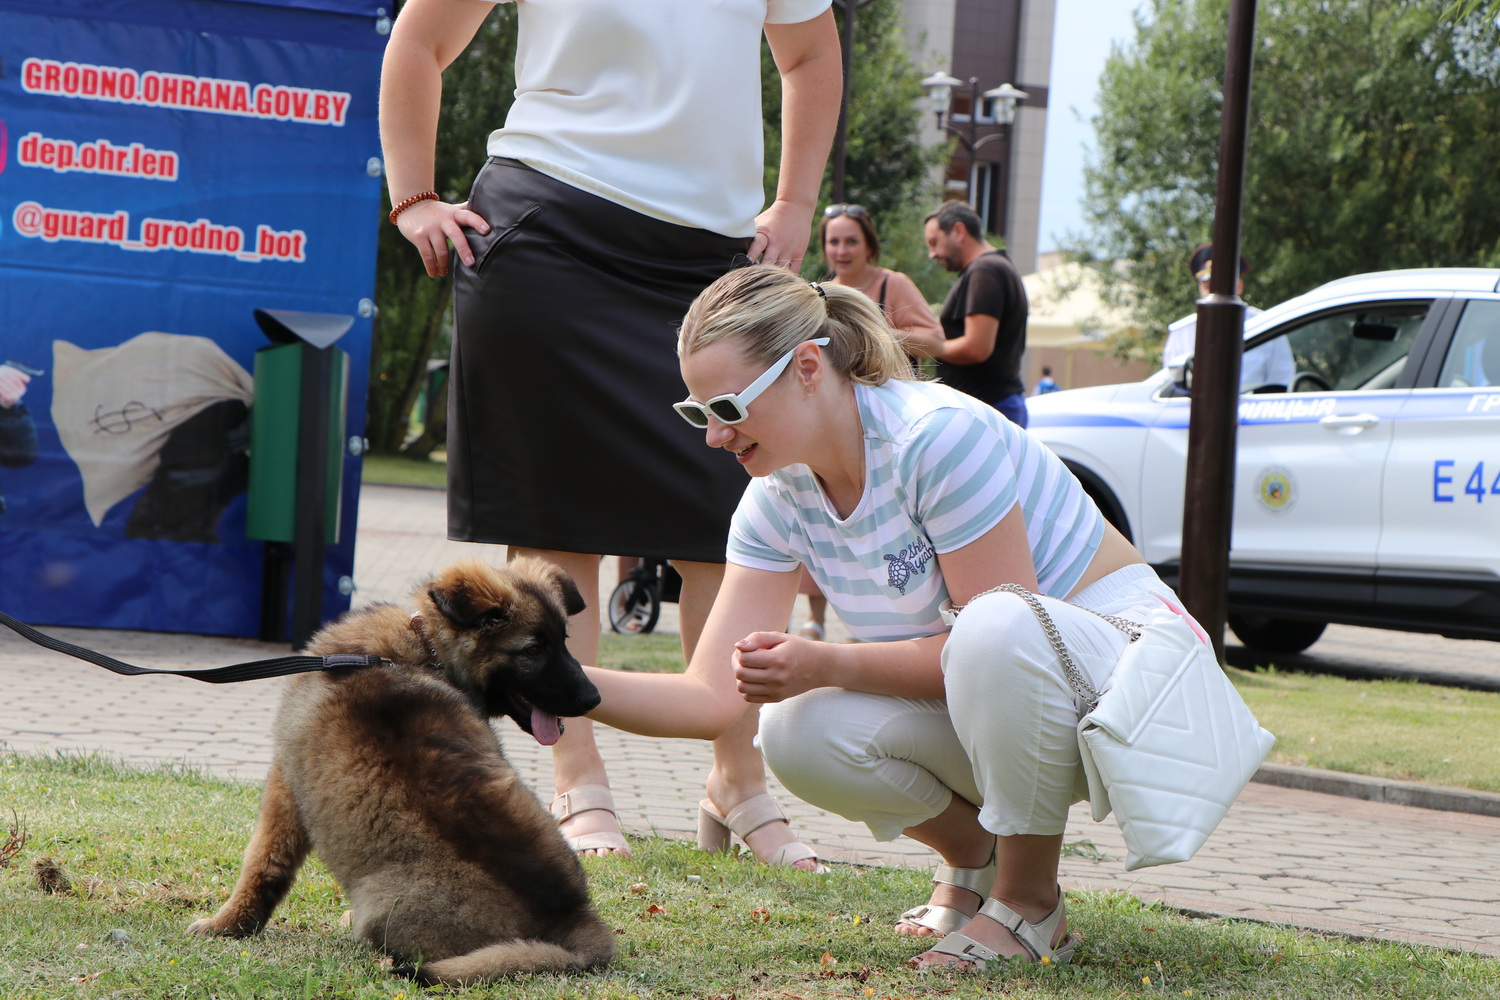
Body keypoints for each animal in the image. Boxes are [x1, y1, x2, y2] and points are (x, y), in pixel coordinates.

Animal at [186, 560, 615, 989]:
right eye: (533, 650)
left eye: (563, 641)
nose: (594, 698)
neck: (423, 649)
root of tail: (574, 919)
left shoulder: (284, 785)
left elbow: (262, 863)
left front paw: (228, 924)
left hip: (380, 907)